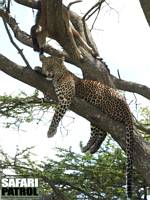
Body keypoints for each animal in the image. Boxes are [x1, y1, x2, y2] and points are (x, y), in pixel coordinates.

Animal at [40, 55, 134, 199]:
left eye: (54, 66)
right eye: (47, 65)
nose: (49, 73)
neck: (60, 76)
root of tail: (127, 109)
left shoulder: (65, 98)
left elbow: (56, 115)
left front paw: (51, 131)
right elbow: (46, 98)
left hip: (98, 107)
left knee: (100, 132)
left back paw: (87, 147)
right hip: (95, 118)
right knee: (101, 133)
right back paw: (90, 148)